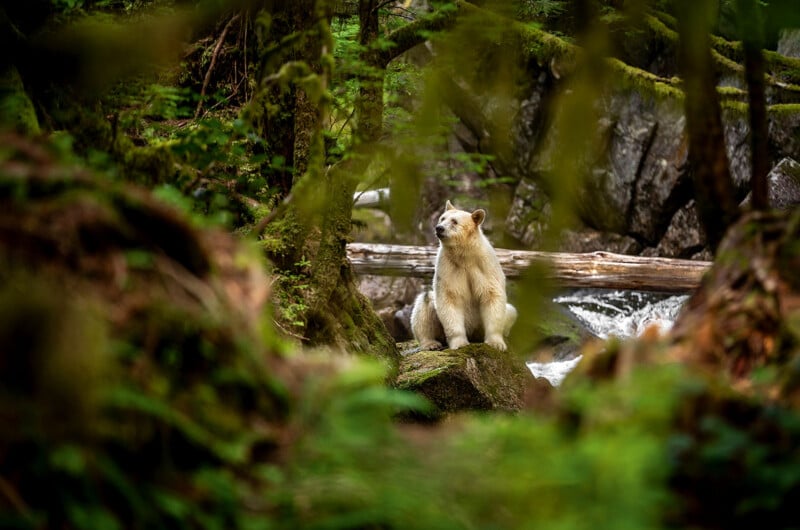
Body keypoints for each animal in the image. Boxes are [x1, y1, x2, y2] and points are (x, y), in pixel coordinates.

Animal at [410, 200, 517, 351]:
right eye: (442, 218)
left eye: (454, 221)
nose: (439, 228)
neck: (465, 256)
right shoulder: (448, 267)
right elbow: (449, 297)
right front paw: (459, 343)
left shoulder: (485, 265)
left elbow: (492, 295)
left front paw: (496, 343)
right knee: (425, 304)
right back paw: (430, 343)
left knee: (511, 311)